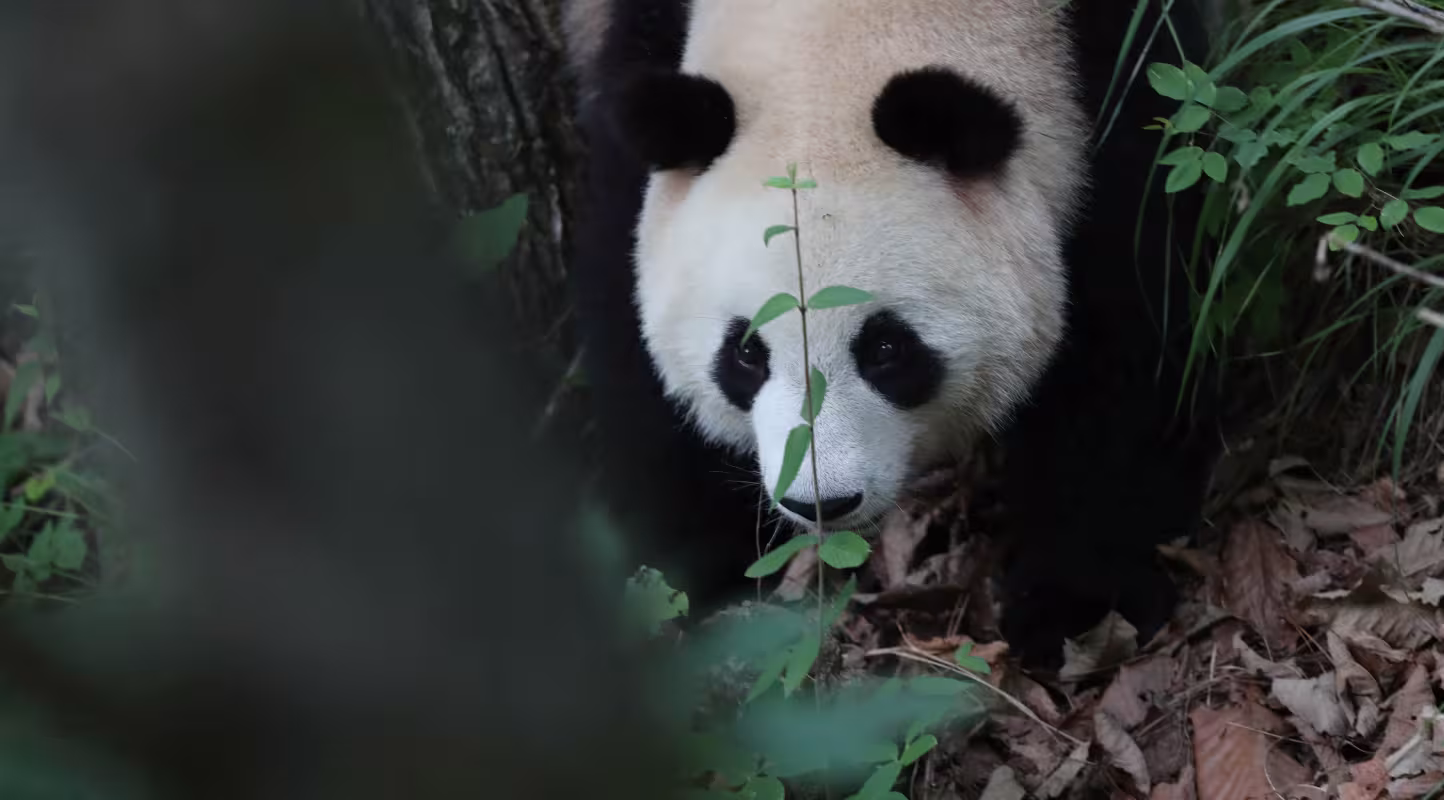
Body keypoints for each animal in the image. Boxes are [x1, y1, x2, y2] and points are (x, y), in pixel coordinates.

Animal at [563, 0, 1220, 664]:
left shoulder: (1117, 74)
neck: (831, 29)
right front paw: (680, 579)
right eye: (746, 353)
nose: (821, 503)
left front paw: (1074, 605)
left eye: (886, 348)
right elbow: (630, 333)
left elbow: (1128, 324)